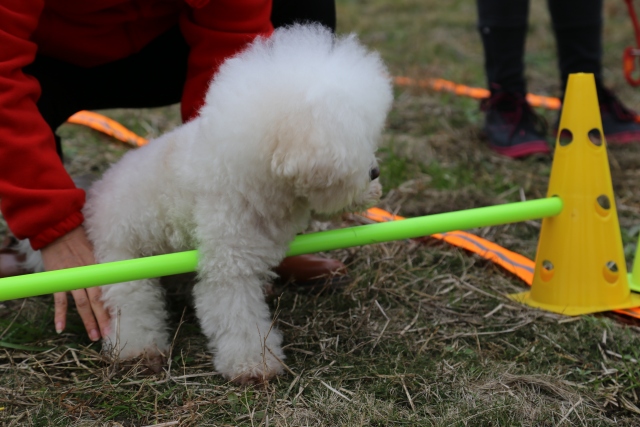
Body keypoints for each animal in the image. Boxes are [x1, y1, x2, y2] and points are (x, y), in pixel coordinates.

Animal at [47, 24, 392, 384]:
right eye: (348, 140)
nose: (375, 172)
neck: (250, 172)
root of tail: (95, 194)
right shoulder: (229, 265)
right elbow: (238, 318)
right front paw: (254, 365)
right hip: (122, 254)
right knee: (132, 302)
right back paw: (138, 350)